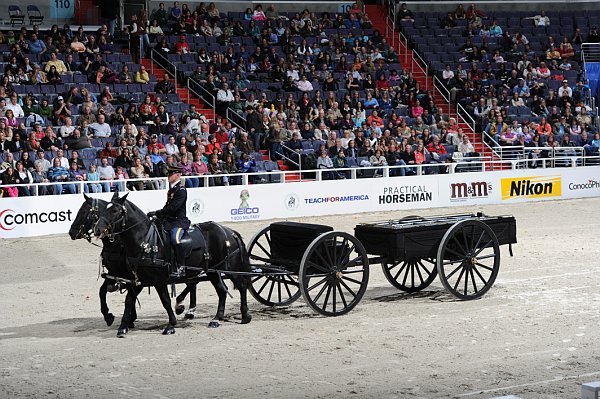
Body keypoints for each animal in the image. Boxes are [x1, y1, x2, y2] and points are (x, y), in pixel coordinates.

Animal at [92, 194, 252, 338]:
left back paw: (244, 315)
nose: (97, 230)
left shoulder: (158, 280)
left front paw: (171, 325)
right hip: (213, 271)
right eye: (103, 210)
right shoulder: (136, 280)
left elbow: (165, 300)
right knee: (222, 291)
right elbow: (129, 301)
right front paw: (123, 327)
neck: (146, 241)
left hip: (229, 269)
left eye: (115, 211)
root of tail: (229, 231)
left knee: (242, 286)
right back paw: (217, 319)